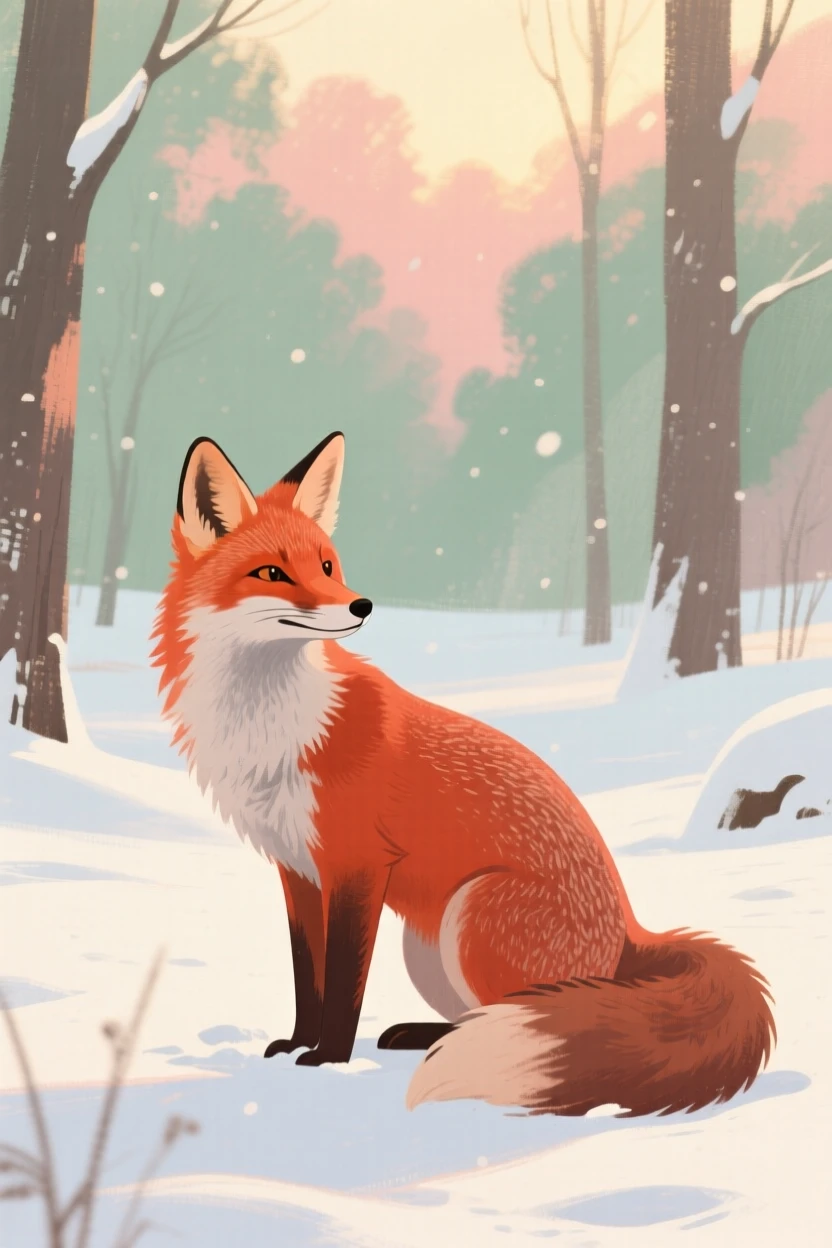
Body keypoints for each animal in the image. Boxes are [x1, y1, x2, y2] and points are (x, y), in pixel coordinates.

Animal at [152, 431, 775, 1116]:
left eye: (327, 566)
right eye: (272, 572)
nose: (362, 605)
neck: (271, 724)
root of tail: (629, 933)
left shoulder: (357, 865)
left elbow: (341, 983)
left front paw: (329, 1059)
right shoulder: (299, 871)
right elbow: (305, 978)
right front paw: (296, 1045)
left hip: (468, 917)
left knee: (531, 1013)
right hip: (427, 946)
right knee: (484, 1016)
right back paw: (423, 1036)